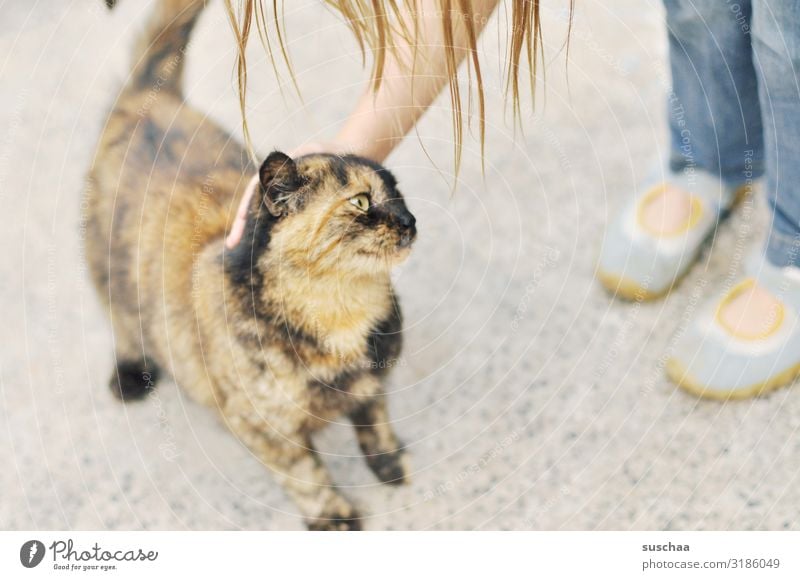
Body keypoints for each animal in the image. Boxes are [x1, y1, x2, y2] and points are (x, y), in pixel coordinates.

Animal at [85, 0, 416, 532]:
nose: (409, 220)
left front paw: (389, 464)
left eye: (398, 193)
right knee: (121, 318)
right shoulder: (264, 429)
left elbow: (375, 421)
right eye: (363, 202)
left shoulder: (370, 384)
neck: (342, 316)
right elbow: (305, 475)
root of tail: (149, 101)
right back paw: (130, 376)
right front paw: (335, 519)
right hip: (106, 267)